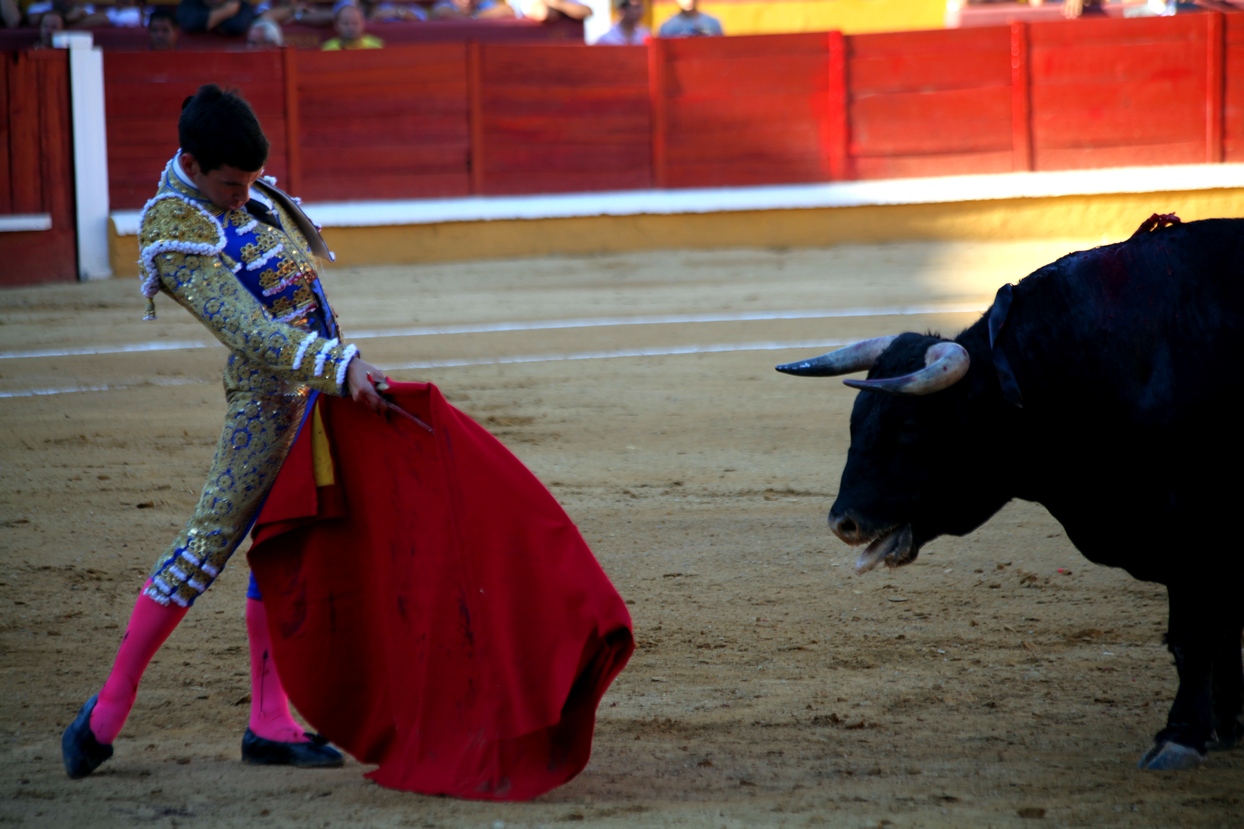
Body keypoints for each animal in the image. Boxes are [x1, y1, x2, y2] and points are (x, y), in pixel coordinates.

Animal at [776, 214, 1244, 766]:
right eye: (855, 420)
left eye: (910, 425)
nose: (843, 523)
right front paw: (1225, 724)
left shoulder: (1193, 527)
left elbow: (1194, 634)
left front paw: (1181, 736)